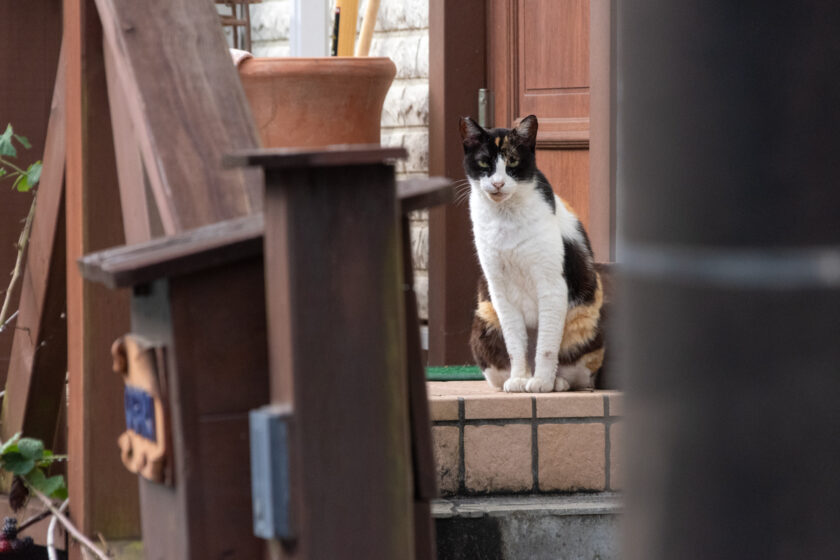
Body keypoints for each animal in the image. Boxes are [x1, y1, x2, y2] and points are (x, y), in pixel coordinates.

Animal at [460, 115, 604, 394]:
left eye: (513, 161)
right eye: (483, 162)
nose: (498, 183)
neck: (505, 217)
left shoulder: (551, 284)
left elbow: (546, 347)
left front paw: (542, 382)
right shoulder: (498, 288)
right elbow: (516, 344)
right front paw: (519, 379)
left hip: (583, 322)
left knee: (575, 374)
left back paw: (556, 382)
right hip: (485, 320)